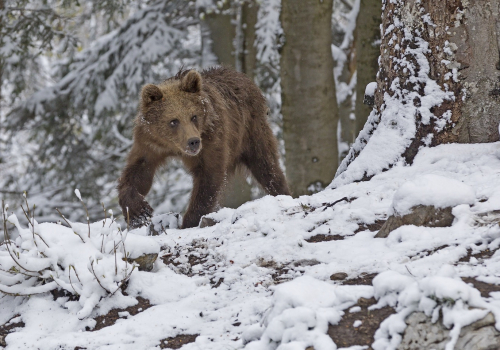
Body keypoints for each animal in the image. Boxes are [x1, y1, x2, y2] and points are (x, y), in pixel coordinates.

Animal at [117, 66, 290, 230]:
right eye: (173, 121)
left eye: (194, 116)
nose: (193, 141)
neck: (173, 146)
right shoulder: (150, 143)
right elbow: (139, 172)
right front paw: (138, 211)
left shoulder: (211, 139)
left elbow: (208, 176)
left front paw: (189, 221)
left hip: (251, 130)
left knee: (266, 166)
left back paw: (282, 194)